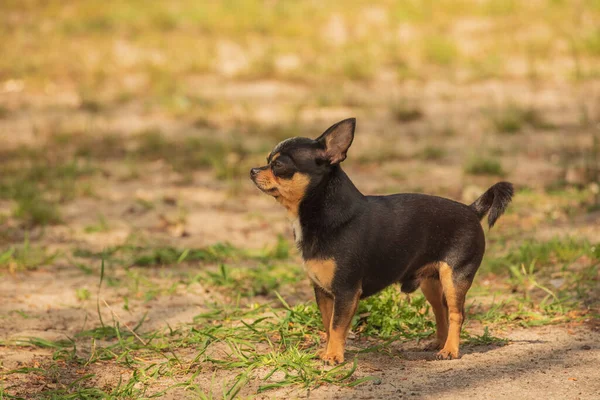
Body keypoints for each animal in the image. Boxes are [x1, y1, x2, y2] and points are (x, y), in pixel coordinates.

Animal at [248, 117, 510, 364]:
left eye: (278, 165)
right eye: (267, 159)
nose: (252, 170)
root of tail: (471, 209)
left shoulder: (346, 291)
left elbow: (337, 325)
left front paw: (333, 356)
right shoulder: (323, 292)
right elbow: (327, 323)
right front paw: (327, 351)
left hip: (454, 278)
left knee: (456, 314)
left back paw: (450, 350)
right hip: (432, 282)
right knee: (440, 311)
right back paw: (439, 343)